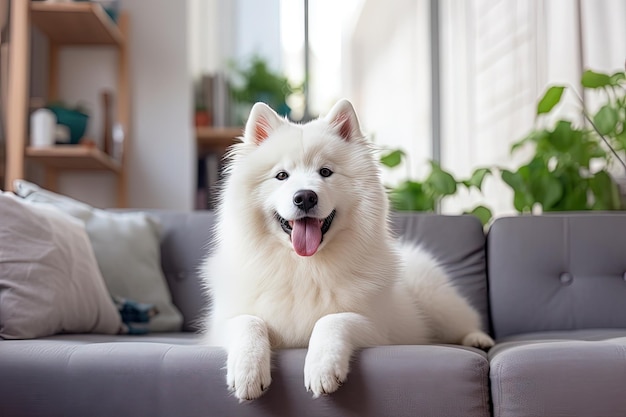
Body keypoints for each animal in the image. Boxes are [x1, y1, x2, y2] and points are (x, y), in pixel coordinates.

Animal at [200, 99, 492, 402]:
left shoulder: (375, 328)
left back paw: (479, 339)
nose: (305, 197)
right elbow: (248, 322)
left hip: (437, 303)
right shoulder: (219, 325)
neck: (304, 267)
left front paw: (322, 369)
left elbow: (333, 319)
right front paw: (247, 373)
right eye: (281, 176)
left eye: (325, 172)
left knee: (465, 321)